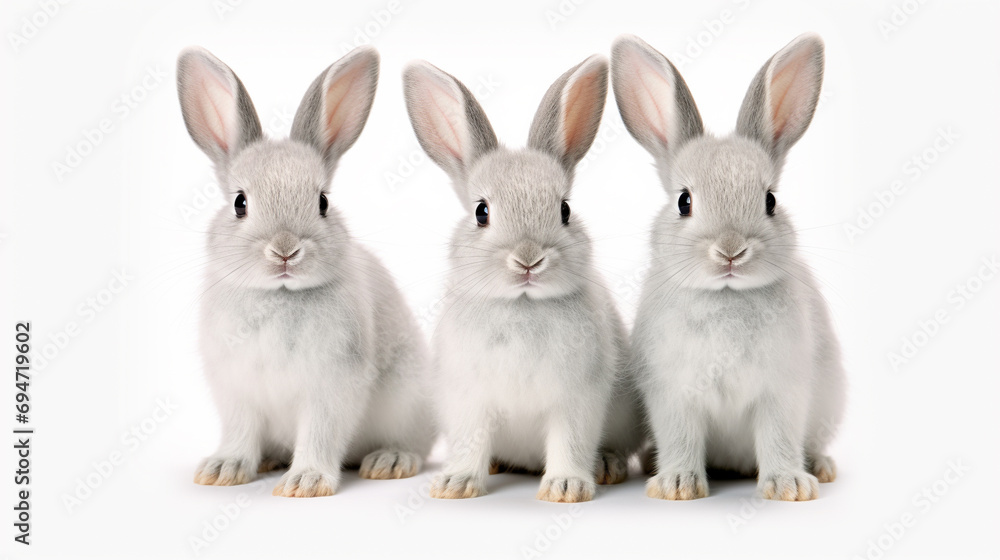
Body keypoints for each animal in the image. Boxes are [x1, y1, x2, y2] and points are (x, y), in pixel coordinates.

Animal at [177, 45, 435, 497]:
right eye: (240, 203)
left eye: (322, 202)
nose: (285, 251)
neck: (279, 295)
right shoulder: (236, 392)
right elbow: (240, 433)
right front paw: (223, 470)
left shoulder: (330, 390)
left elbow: (320, 433)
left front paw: (306, 482)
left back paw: (389, 461)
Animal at [402, 55, 646, 503]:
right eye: (481, 211)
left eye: (564, 210)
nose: (529, 259)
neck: (522, 306)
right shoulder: (468, 401)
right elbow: (470, 442)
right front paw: (455, 484)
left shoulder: (575, 401)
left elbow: (570, 441)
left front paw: (566, 487)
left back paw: (606, 466)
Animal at [611, 33, 846, 501]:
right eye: (684, 201)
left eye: (770, 200)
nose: (731, 251)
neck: (726, 297)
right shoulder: (674, 395)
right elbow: (681, 438)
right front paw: (677, 485)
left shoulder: (782, 392)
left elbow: (778, 437)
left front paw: (789, 486)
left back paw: (820, 467)